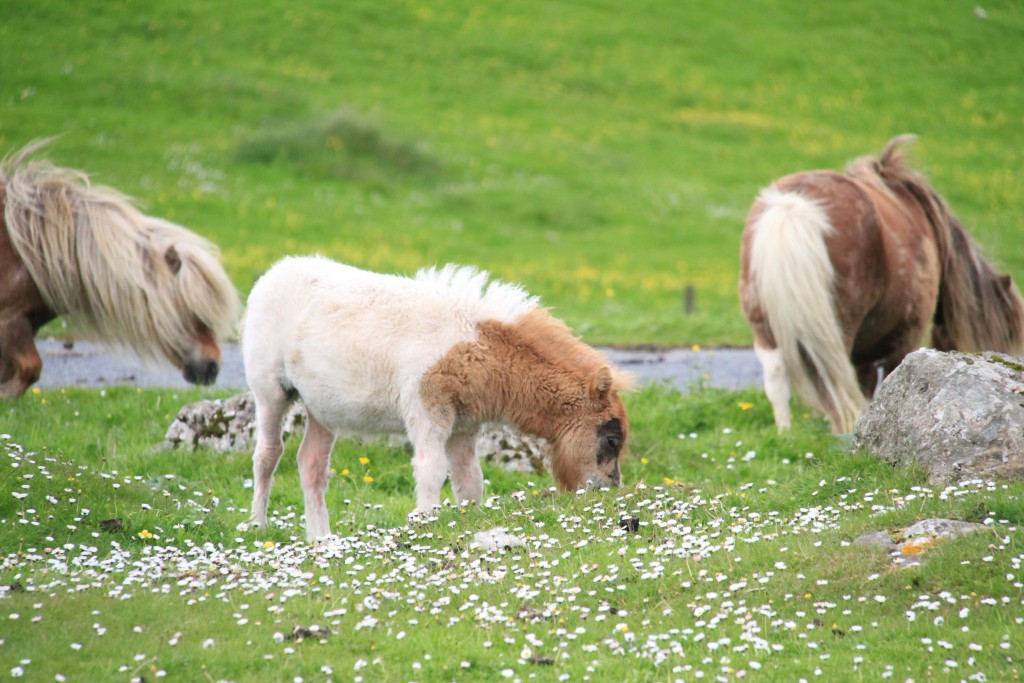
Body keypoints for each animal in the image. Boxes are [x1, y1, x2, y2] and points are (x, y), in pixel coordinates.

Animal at [245, 254, 630, 540]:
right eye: (611, 439)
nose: (607, 491)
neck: (474, 343)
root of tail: (272, 275)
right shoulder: (427, 411)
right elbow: (431, 468)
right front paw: (424, 518)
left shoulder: (464, 426)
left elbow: (469, 480)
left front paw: (465, 521)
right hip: (270, 391)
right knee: (268, 454)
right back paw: (257, 526)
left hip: (322, 410)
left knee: (311, 464)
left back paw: (321, 540)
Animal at [741, 134, 1024, 432]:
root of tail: (792, 207)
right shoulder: (905, 336)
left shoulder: (864, 356)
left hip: (764, 326)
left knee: (778, 380)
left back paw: (785, 433)